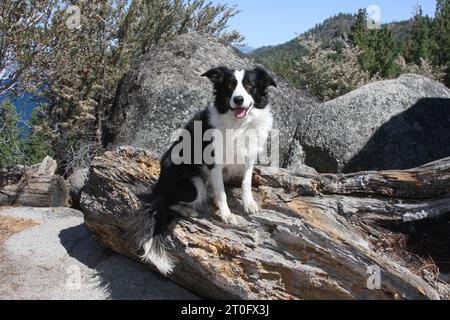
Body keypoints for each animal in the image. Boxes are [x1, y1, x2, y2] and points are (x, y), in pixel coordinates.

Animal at [134, 66, 276, 274]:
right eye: (229, 86)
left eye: (250, 85)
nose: (238, 99)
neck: (239, 125)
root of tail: (158, 187)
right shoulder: (214, 163)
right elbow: (222, 193)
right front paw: (227, 215)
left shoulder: (248, 158)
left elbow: (246, 182)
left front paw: (249, 203)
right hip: (193, 185)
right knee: (166, 203)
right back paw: (189, 210)